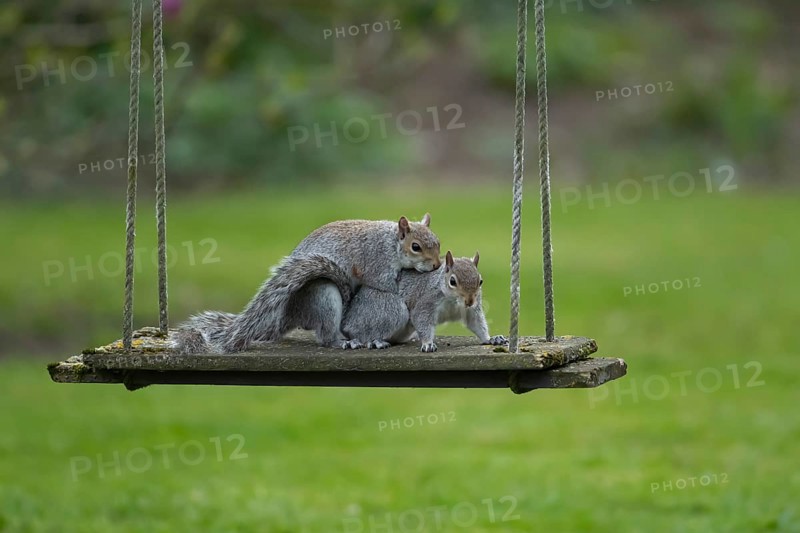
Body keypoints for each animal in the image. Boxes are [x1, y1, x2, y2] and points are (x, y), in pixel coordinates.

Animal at [174, 215, 441, 354]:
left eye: (437, 242)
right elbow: (389, 286)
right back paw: (343, 341)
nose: (437, 264)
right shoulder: (377, 265)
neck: (390, 243)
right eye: (416, 247)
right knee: (325, 336)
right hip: (323, 296)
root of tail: (289, 314)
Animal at [340, 250, 508, 352]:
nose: (470, 301)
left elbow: (476, 323)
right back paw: (373, 341)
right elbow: (421, 319)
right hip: (387, 310)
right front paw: (428, 344)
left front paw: (491, 339)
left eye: (480, 281)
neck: (453, 301)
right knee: (361, 333)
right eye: (452, 281)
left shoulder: (471, 311)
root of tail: (348, 319)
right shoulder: (426, 301)